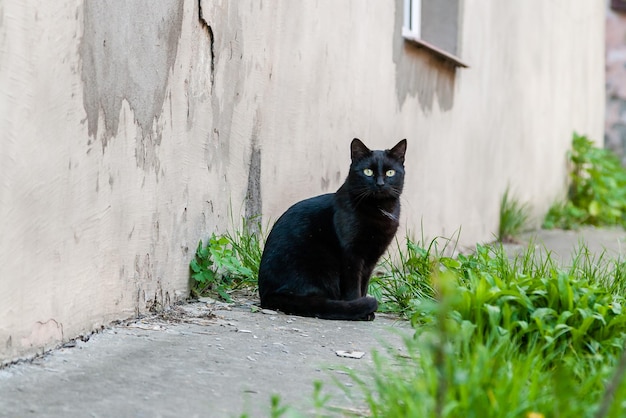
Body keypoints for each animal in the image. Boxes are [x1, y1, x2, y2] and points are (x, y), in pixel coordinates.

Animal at [258, 138, 408, 320]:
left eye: (390, 173)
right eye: (368, 172)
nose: (380, 183)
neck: (379, 209)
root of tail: (267, 294)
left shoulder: (371, 258)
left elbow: (364, 284)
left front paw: (366, 310)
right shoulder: (352, 255)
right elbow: (353, 287)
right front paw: (360, 309)